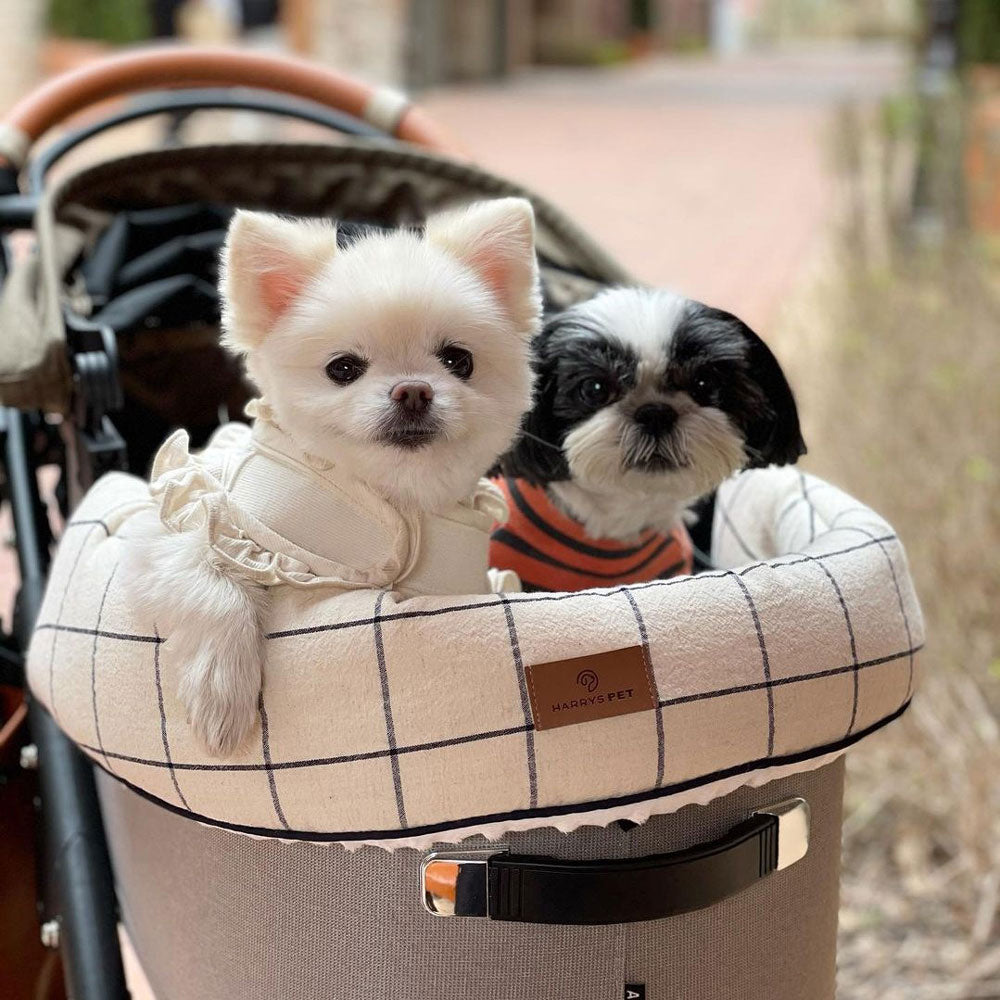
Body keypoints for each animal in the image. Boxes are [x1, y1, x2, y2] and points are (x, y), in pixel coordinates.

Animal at [131, 199, 548, 752]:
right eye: (343, 368)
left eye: (459, 360)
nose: (413, 391)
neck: (395, 499)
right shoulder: (187, 515)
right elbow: (209, 576)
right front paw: (221, 695)